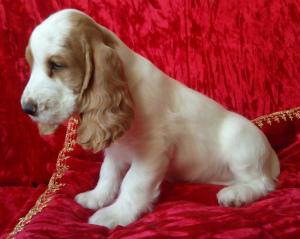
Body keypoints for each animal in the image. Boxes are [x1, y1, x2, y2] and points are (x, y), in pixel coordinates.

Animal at [20, 9, 278, 230]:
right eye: (31, 66)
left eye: (57, 65)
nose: (26, 109)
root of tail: (272, 158)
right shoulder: (116, 148)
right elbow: (108, 174)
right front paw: (97, 197)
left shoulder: (152, 151)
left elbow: (132, 183)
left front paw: (115, 214)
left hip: (243, 147)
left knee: (263, 182)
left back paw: (236, 194)